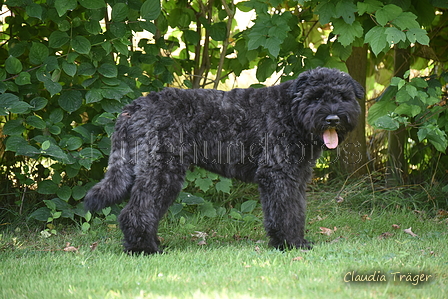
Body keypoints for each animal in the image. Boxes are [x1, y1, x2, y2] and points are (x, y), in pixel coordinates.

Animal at [85, 67, 364, 253]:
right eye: (315, 97)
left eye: (343, 96)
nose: (332, 118)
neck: (290, 112)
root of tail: (132, 108)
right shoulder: (277, 174)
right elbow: (284, 211)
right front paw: (289, 244)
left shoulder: (296, 176)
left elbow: (295, 210)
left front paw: (295, 241)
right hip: (162, 172)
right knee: (136, 211)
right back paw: (145, 249)